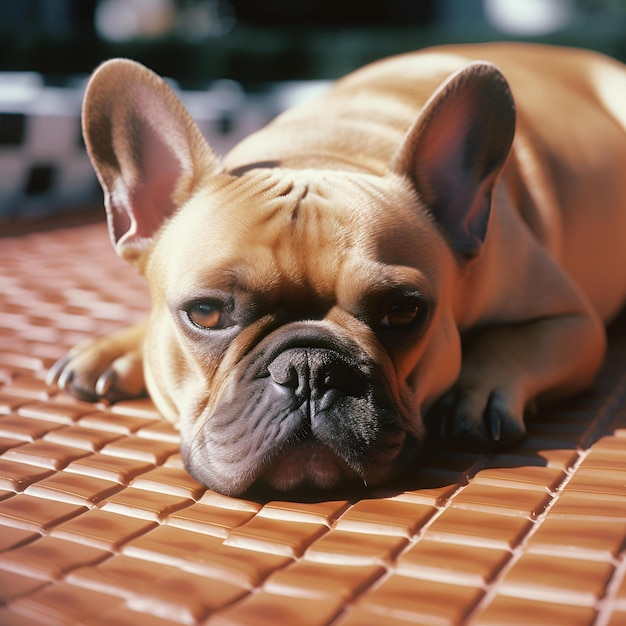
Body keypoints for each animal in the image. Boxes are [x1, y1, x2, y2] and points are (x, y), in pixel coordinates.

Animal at [47, 41, 624, 494]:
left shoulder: (573, 323)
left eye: (404, 312)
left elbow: (510, 343)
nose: (309, 368)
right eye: (205, 313)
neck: (325, 151)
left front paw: (474, 391)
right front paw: (117, 347)